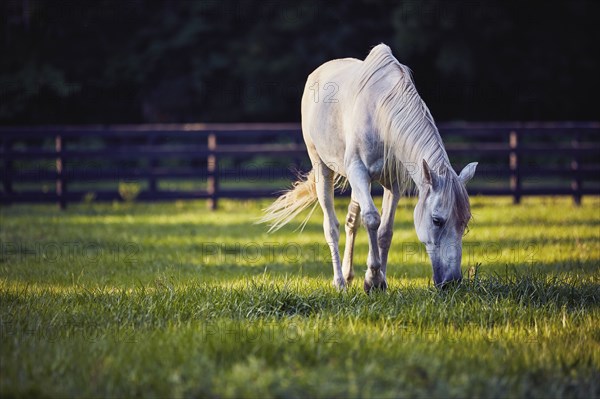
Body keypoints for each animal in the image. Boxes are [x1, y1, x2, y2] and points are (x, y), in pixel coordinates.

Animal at [260, 44, 476, 294]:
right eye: (437, 220)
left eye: (465, 222)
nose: (452, 282)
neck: (382, 114)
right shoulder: (358, 172)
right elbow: (372, 219)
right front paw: (372, 280)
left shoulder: (393, 184)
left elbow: (385, 231)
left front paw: (381, 280)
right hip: (323, 168)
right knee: (332, 225)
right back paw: (339, 282)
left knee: (352, 221)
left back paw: (348, 275)